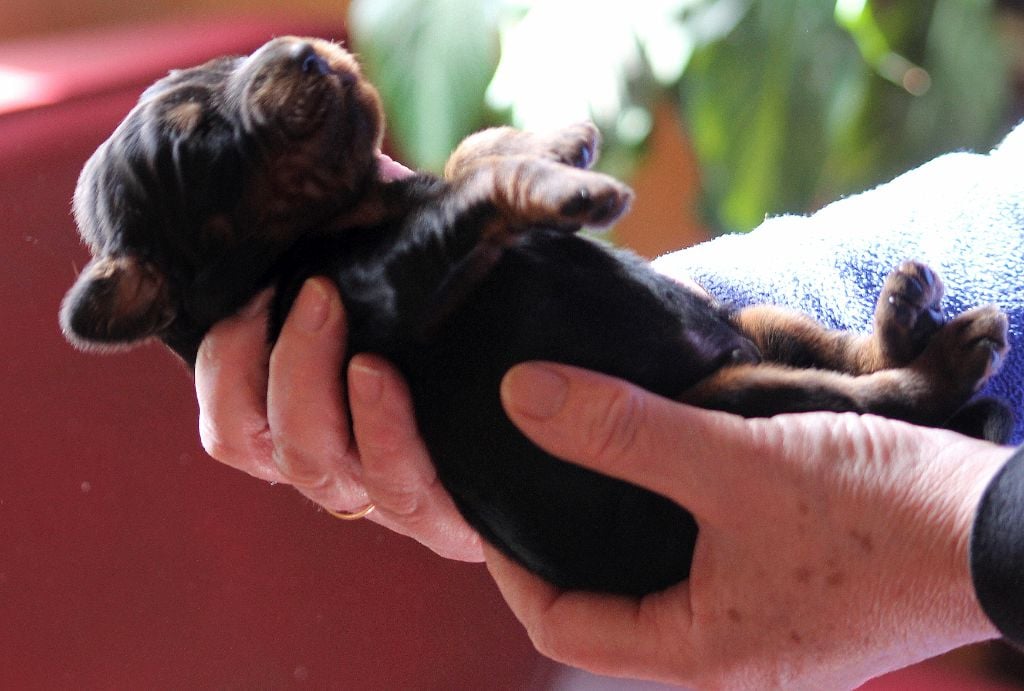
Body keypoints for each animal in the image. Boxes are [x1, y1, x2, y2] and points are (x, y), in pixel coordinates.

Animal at [61, 36, 1007, 593]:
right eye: (198, 137)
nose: (308, 51)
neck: (346, 217)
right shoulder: (381, 291)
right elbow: (473, 189)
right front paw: (559, 180)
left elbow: (466, 155)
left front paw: (549, 143)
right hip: (740, 402)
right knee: (880, 399)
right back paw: (946, 358)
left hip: (756, 326)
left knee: (841, 350)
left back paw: (902, 314)